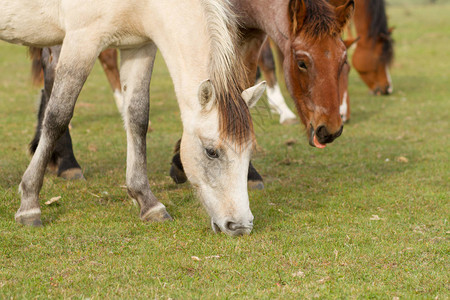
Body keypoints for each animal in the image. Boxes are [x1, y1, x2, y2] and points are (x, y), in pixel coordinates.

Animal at [2, 0, 268, 237]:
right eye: (211, 152)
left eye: (249, 152)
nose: (240, 226)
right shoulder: (82, 39)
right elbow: (58, 115)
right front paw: (29, 204)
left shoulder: (139, 48)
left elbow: (138, 117)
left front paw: (147, 202)